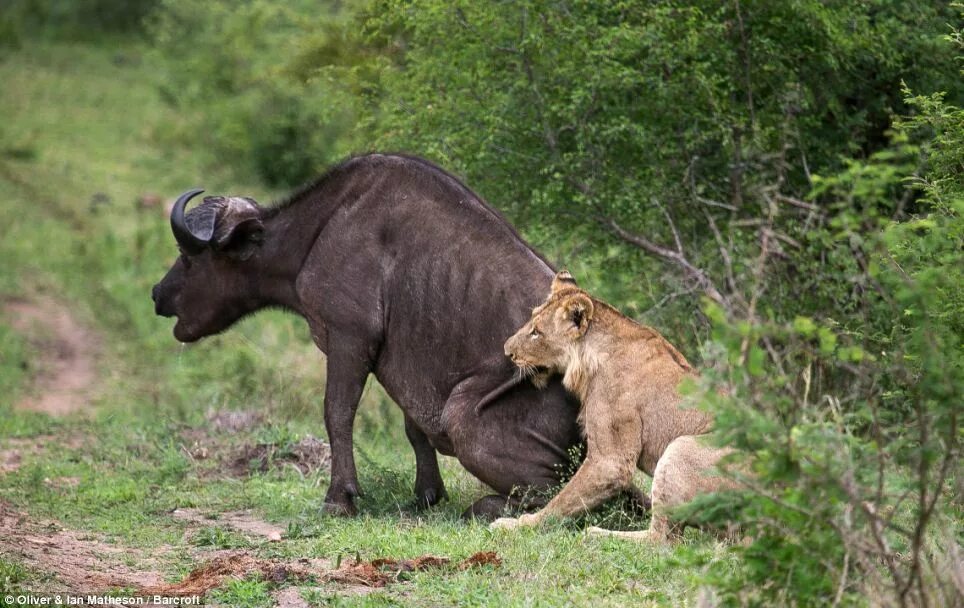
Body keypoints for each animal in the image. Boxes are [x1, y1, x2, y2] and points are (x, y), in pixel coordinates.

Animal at [153, 153, 580, 516]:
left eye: (188, 256)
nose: (157, 294)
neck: (319, 231)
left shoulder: (348, 339)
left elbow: (337, 413)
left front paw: (339, 498)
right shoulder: (407, 361)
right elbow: (414, 427)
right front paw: (427, 494)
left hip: (462, 415)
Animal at [494, 270, 736, 540]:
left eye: (536, 332)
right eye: (530, 321)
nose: (506, 351)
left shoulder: (610, 461)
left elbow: (561, 502)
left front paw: (518, 524)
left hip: (682, 447)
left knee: (661, 539)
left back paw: (596, 533)